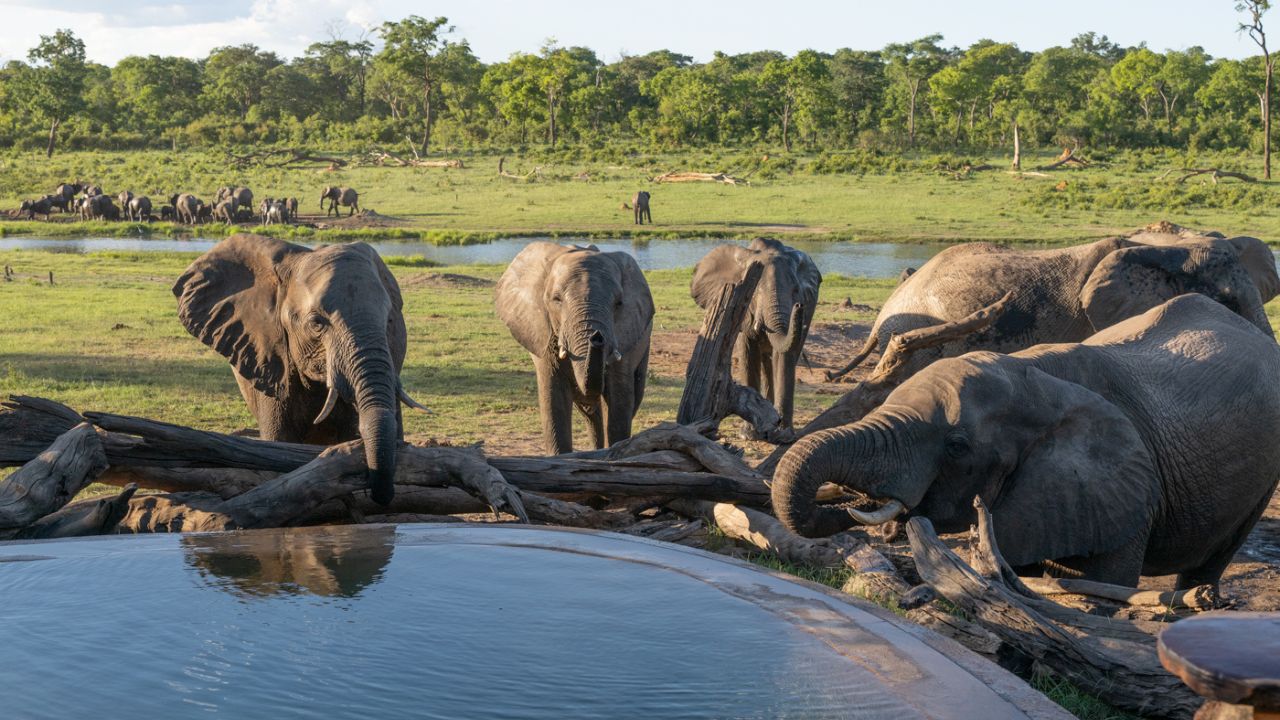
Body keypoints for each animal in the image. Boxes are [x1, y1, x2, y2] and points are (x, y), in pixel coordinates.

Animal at [496, 242, 655, 455]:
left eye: (618, 303)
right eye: (556, 299)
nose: (597, 338)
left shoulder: (626, 333)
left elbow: (619, 401)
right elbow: (553, 400)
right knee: (589, 409)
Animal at [691, 238, 821, 428]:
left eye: (796, 291)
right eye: (756, 289)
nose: (798, 306)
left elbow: (783, 356)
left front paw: (783, 432)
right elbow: (748, 353)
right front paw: (750, 431)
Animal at [773, 294, 1280, 589]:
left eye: (957, 446)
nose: (853, 503)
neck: (1035, 376)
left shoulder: (1126, 484)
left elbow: (1105, 589)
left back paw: (1194, 600)